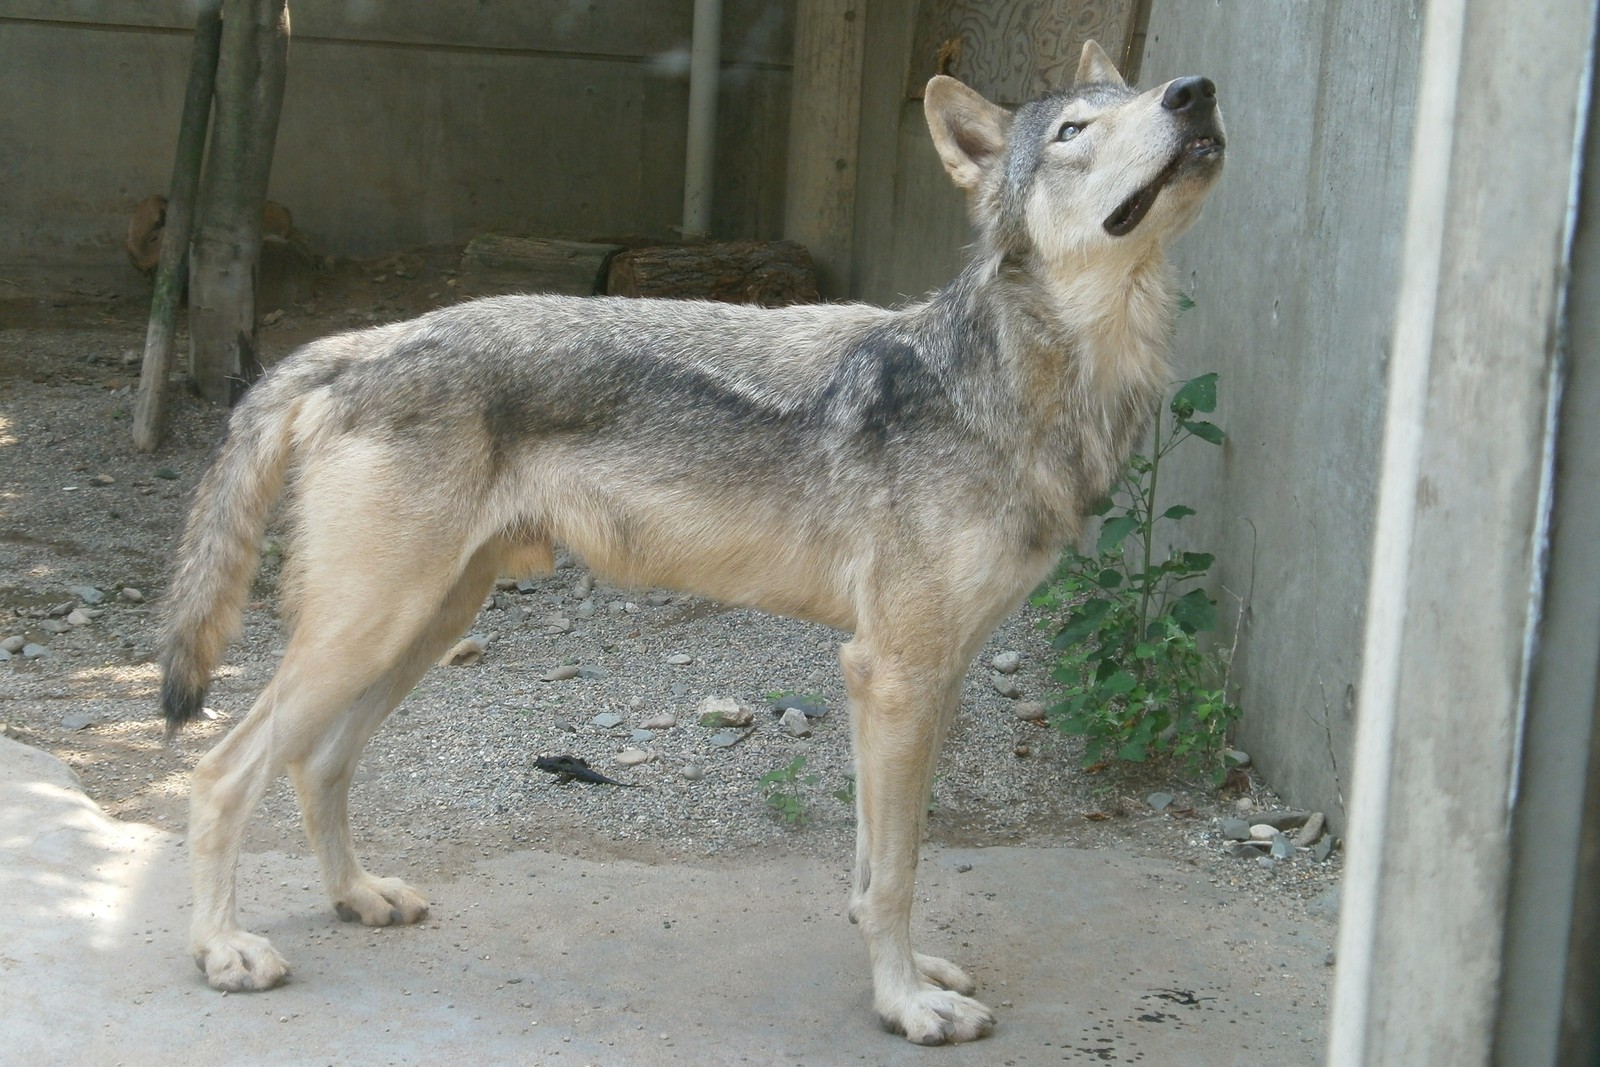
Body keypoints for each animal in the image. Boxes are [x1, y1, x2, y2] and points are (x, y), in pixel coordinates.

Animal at [159, 41, 1222, 1043]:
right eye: (1075, 130)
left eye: (1140, 93)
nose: (1197, 91)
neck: (1009, 381)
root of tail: (363, 343)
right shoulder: (892, 672)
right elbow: (896, 875)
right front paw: (906, 1004)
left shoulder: (922, 677)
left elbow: (878, 861)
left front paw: (916, 973)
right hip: (369, 629)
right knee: (218, 773)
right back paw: (221, 949)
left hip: (421, 628)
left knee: (317, 764)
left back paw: (358, 897)